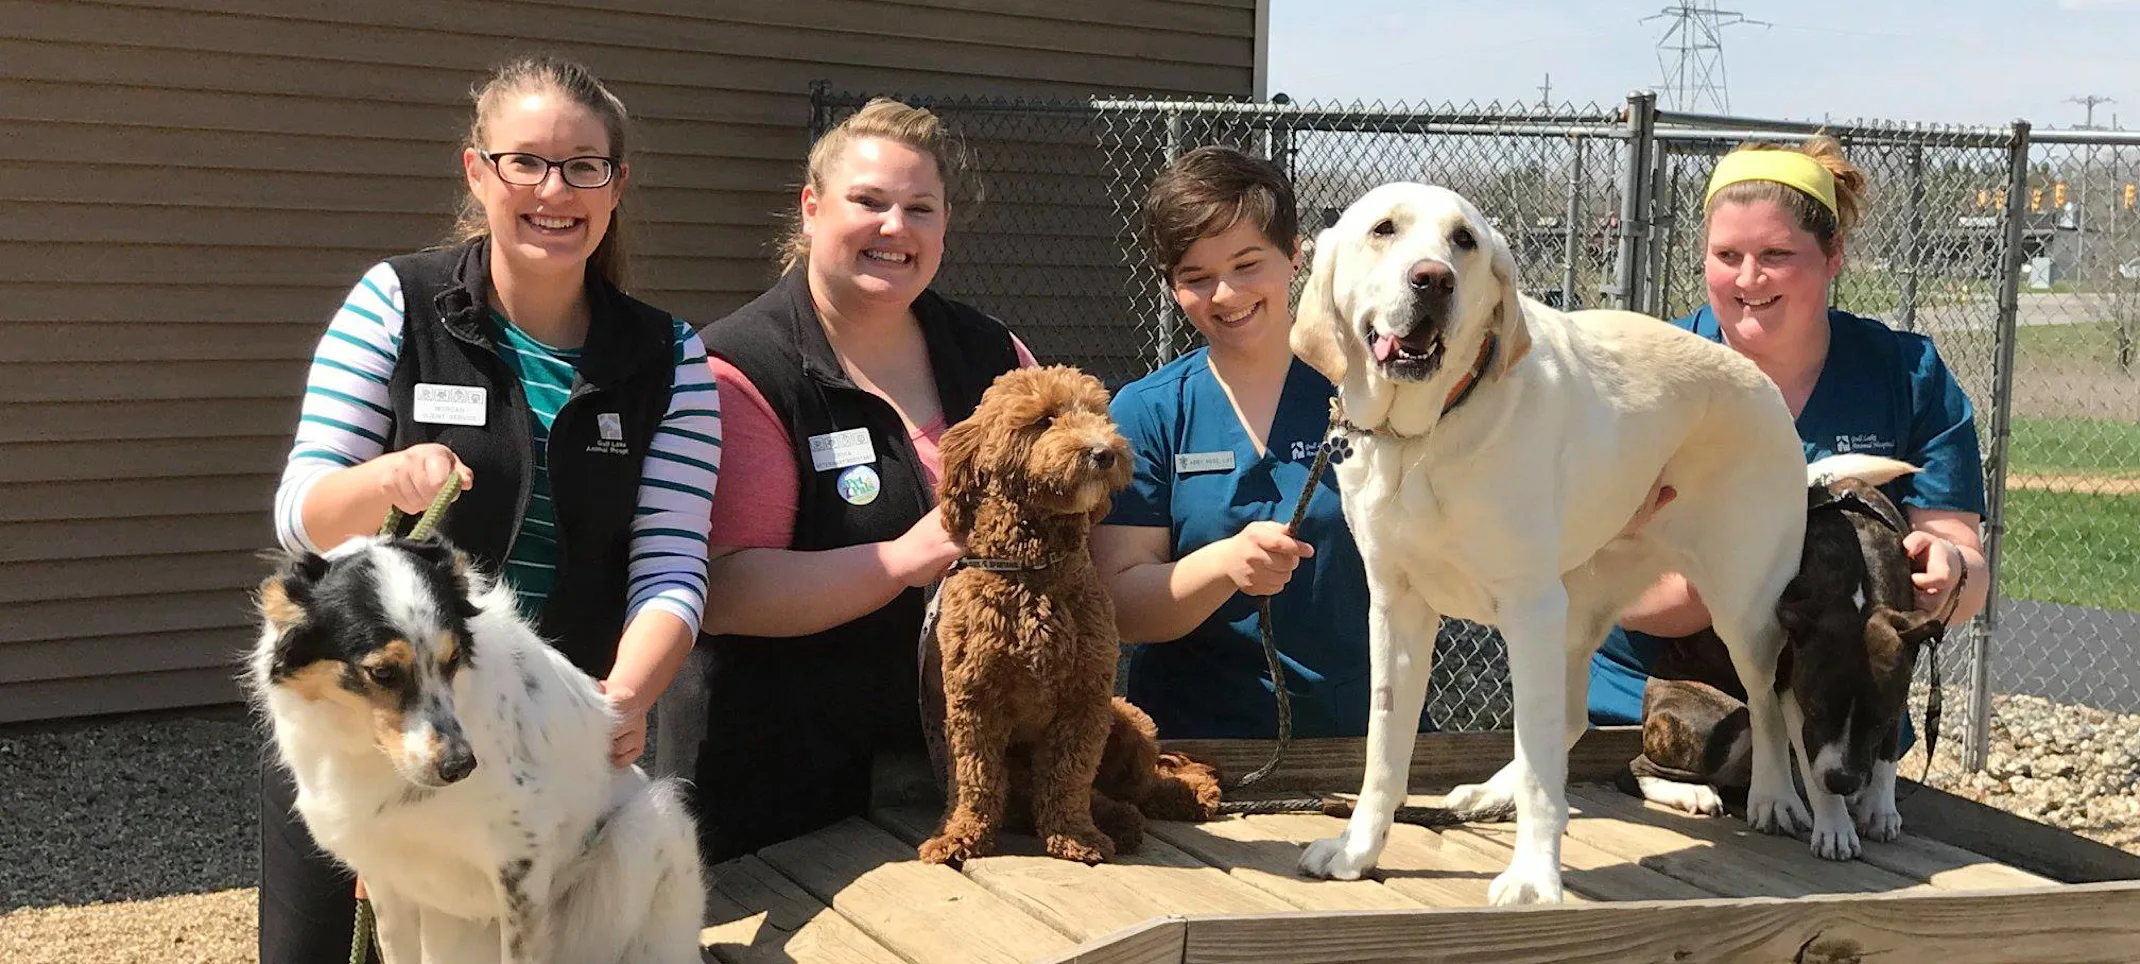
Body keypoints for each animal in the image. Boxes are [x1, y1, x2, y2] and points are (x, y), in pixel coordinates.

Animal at [247, 535, 701, 964]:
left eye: (453, 660)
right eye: (383, 672)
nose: (460, 765)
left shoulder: (520, 870)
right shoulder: (385, 880)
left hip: (648, 826)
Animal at [1284, 184, 1823, 908]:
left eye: (1463, 241)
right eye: (1383, 229)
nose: (1433, 280)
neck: (1425, 436)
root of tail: (1763, 382)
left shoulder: (1529, 609)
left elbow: (1541, 764)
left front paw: (1534, 877)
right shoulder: (1396, 608)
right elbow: (1383, 751)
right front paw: (1357, 851)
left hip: (1743, 609)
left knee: (1770, 703)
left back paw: (1774, 798)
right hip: (1579, 608)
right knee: (1566, 721)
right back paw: (1488, 792)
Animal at [1626, 452, 1951, 856]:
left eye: (1878, 721)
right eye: (1817, 711)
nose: (1842, 781)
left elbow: (1887, 750)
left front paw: (1880, 807)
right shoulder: (1791, 693)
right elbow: (1805, 755)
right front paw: (1835, 828)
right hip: (1718, 721)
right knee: (1642, 766)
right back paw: (1696, 793)